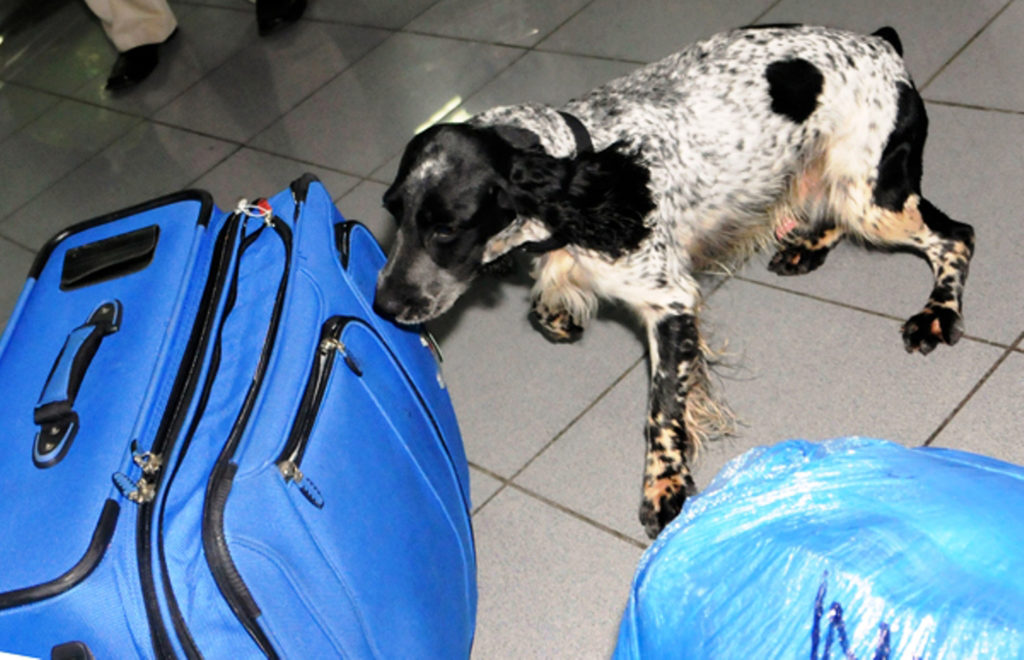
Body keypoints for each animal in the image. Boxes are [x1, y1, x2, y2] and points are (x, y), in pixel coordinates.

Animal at [374, 26, 974, 540]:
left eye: (446, 227)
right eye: (392, 212)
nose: (381, 306)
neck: (588, 175)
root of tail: (880, 43)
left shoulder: (670, 302)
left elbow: (661, 409)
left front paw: (663, 487)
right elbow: (546, 313)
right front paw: (563, 316)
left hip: (875, 198)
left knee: (956, 237)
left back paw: (937, 312)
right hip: (840, 185)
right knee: (839, 215)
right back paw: (805, 246)